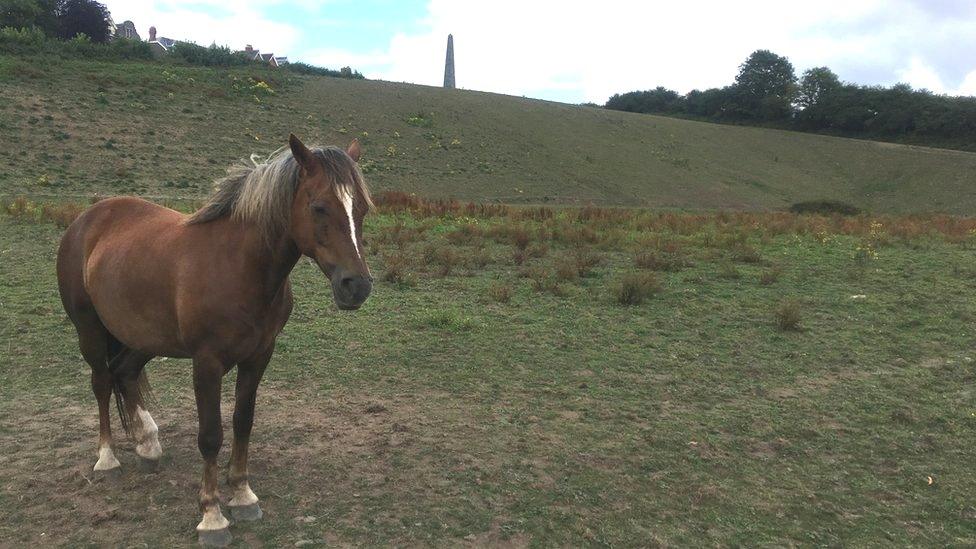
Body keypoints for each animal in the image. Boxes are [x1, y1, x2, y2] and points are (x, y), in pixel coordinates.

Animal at [56, 135, 374, 544]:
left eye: (361, 207)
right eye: (319, 206)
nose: (357, 286)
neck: (238, 266)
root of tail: (87, 219)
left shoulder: (259, 355)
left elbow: (242, 421)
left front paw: (242, 494)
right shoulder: (206, 363)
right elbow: (210, 434)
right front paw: (212, 515)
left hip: (143, 337)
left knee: (124, 374)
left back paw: (148, 445)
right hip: (90, 330)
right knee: (100, 383)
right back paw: (108, 459)